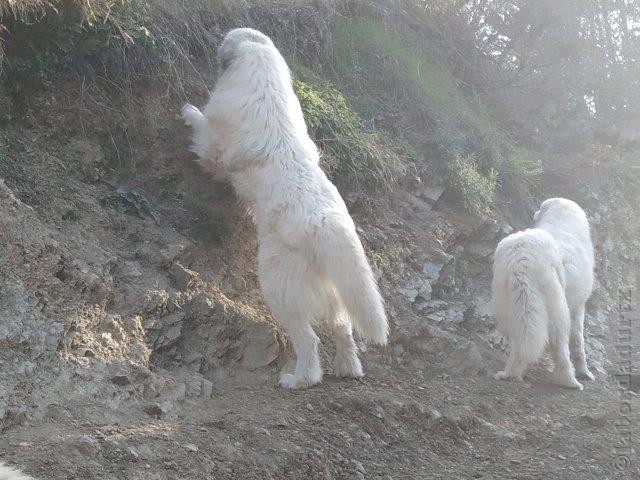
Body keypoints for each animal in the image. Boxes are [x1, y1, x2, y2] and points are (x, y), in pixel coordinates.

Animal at [181, 28, 390, 390]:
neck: (264, 82)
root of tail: (327, 223)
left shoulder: (214, 139)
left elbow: (203, 132)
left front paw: (187, 111)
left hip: (278, 287)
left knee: (309, 339)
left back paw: (300, 379)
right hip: (333, 289)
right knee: (343, 330)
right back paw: (348, 368)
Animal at [490, 197, 596, 388]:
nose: (534, 212)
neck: (563, 218)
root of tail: (521, 255)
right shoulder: (578, 307)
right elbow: (578, 342)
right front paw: (584, 372)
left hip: (513, 308)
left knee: (519, 343)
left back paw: (510, 374)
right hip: (559, 311)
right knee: (561, 350)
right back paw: (571, 382)